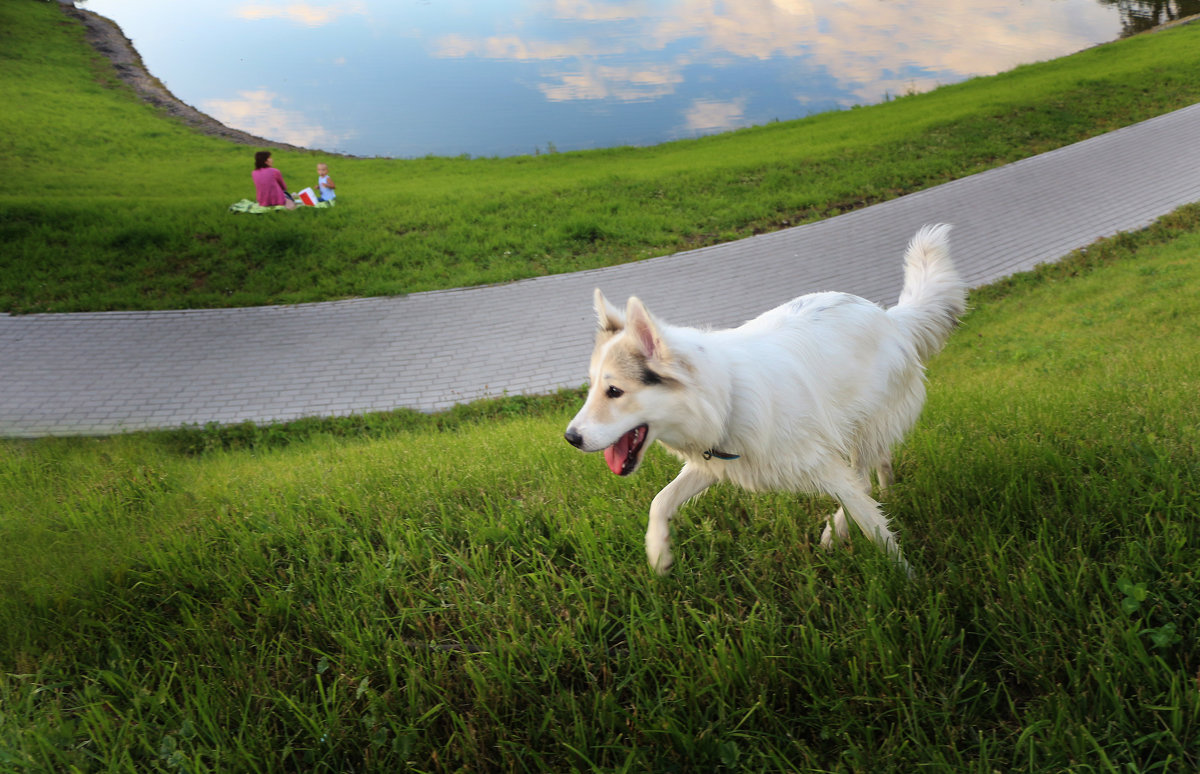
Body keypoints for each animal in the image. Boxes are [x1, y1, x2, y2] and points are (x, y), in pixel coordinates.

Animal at [561, 223, 964, 573]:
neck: (726, 397)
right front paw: (658, 554)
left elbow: (875, 527)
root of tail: (892, 318)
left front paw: (909, 581)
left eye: (614, 391)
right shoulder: (714, 461)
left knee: (863, 476)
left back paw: (837, 529)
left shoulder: (823, 466)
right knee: (877, 464)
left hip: (863, 426)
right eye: (592, 388)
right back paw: (885, 489)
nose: (570, 438)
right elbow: (660, 501)